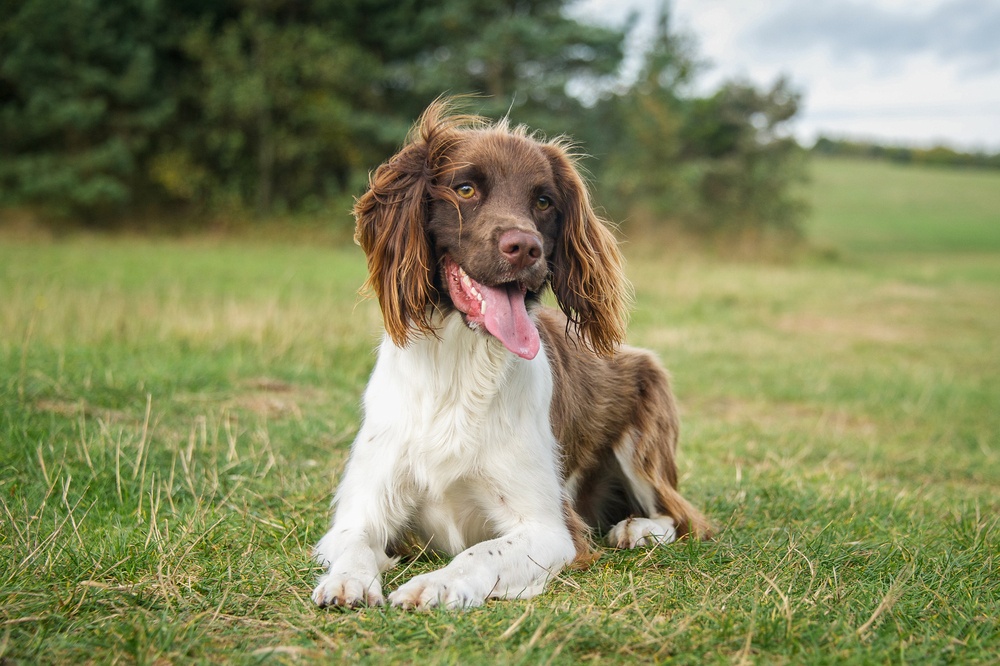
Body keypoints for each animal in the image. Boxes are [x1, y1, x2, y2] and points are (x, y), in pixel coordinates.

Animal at [312, 97, 712, 608]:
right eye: (464, 188)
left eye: (543, 201)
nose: (525, 247)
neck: (458, 369)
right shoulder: (362, 509)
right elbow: (356, 543)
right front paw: (349, 581)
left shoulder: (551, 531)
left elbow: (479, 554)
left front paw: (433, 585)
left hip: (643, 434)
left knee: (682, 517)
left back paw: (636, 529)